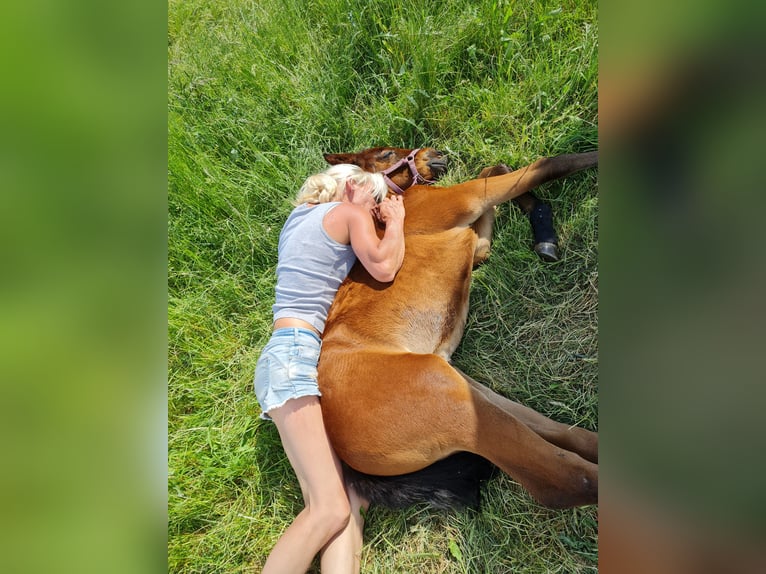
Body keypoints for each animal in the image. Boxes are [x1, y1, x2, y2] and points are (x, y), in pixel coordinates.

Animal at [318, 146, 600, 510]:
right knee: (567, 480)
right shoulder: (466, 200)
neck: (398, 201)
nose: (434, 153)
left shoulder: (476, 242)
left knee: (561, 434)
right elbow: (544, 165)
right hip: (453, 402)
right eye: (386, 153)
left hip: (466, 388)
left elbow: (494, 169)